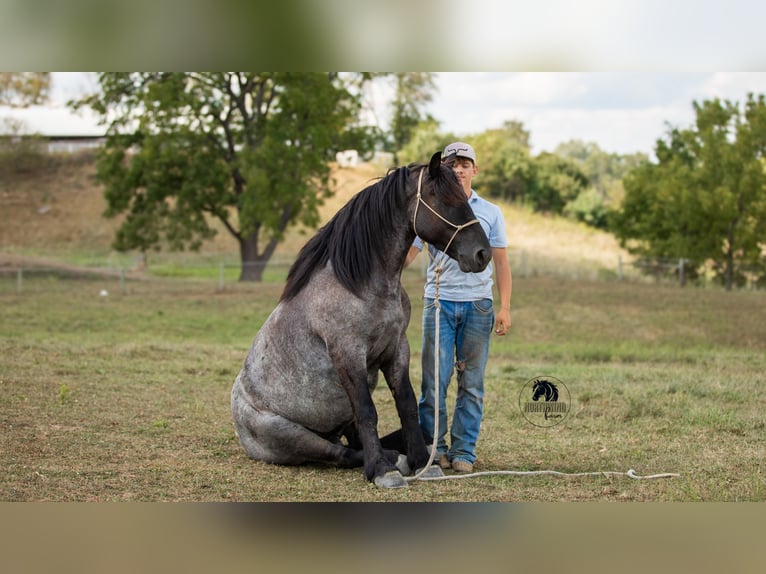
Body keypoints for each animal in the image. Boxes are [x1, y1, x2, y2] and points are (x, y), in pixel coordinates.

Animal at [231, 152, 492, 488]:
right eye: (444, 199)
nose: (482, 254)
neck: (361, 283)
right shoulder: (349, 354)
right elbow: (369, 411)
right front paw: (383, 470)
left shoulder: (397, 349)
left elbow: (407, 404)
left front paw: (424, 462)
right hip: (288, 434)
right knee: (339, 453)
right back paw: (390, 460)